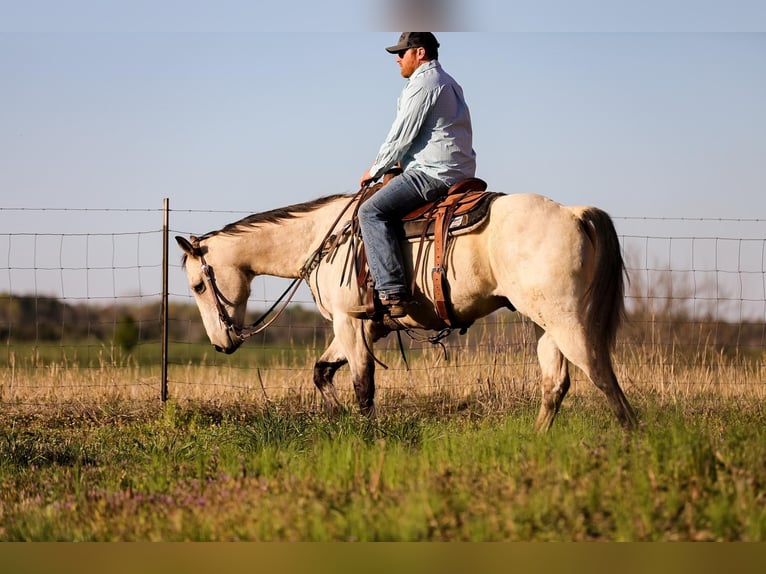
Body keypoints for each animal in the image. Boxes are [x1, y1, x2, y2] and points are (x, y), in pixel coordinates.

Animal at [177, 189, 640, 432]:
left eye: (198, 285)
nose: (221, 345)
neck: (323, 240)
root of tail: (573, 213)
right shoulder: (363, 328)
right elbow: (322, 371)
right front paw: (336, 418)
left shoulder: (350, 322)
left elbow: (363, 387)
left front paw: (368, 436)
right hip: (551, 325)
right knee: (556, 383)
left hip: (567, 320)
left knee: (601, 374)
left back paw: (631, 440)